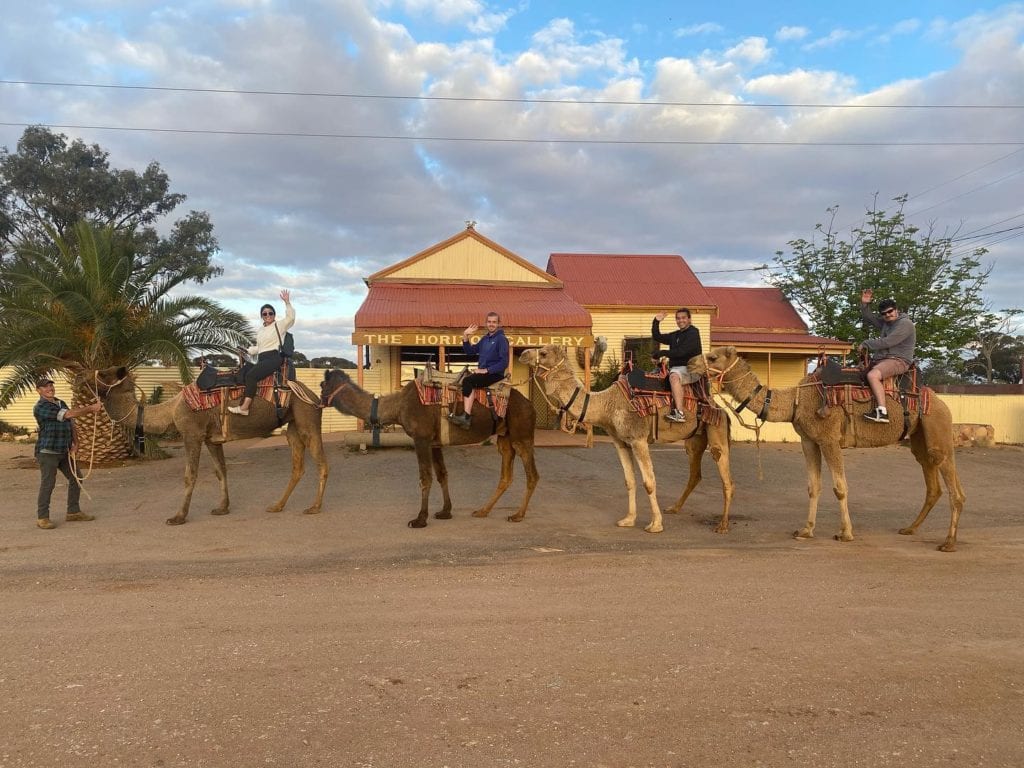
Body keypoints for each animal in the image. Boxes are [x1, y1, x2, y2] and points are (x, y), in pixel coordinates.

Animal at [93, 364, 327, 524]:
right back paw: (277, 506)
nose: (87, 375)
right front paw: (222, 508)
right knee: (297, 466)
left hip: (307, 417)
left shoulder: (192, 434)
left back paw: (314, 507)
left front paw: (178, 517)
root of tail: (313, 395)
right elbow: (220, 471)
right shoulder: (211, 440)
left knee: (322, 464)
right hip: (293, 426)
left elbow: (190, 476)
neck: (171, 409)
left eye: (104, 374)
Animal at [321, 368, 540, 528]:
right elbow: (442, 474)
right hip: (505, 437)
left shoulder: (421, 439)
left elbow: (425, 477)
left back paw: (517, 515)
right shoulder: (435, 443)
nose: (319, 400)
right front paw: (445, 511)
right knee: (506, 475)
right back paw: (482, 511)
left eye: (323, 385)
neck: (398, 407)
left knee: (532, 474)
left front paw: (419, 519)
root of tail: (531, 404)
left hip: (522, 434)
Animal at [524, 348, 733, 536]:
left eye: (543, 353)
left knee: (726, 477)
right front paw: (628, 519)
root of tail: (718, 406)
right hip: (695, 439)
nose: (523, 354)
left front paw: (655, 525)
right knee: (695, 473)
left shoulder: (639, 439)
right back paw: (674, 508)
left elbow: (649, 482)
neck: (607, 404)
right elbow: (629, 481)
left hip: (716, 429)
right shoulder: (621, 442)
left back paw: (722, 525)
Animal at [692, 346, 962, 548]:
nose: (691, 363)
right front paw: (806, 530)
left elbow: (840, 487)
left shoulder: (830, 439)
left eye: (713, 357)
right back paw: (909, 529)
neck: (796, 401)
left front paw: (845, 533)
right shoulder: (810, 441)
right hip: (918, 438)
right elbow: (814, 486)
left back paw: (948, 542)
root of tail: (940, 401)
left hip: (938, 428)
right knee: (932, 481)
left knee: (952, 484)